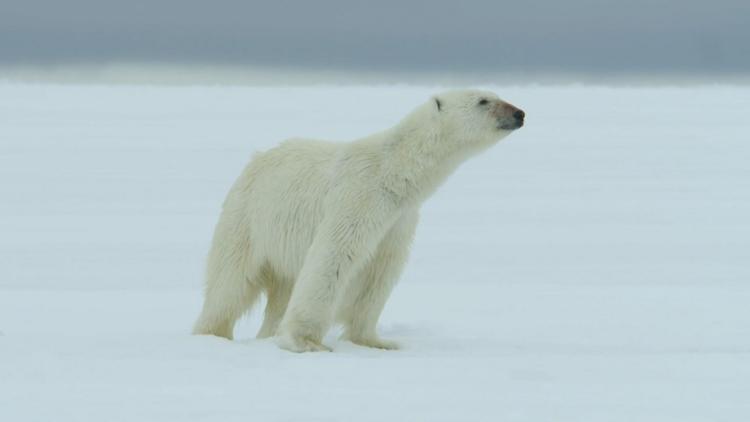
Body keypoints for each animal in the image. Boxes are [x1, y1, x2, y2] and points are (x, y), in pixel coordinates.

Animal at [191, 90, 524, 352]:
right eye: (484, 100)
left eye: (495, 94)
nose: (520, 113)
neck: (395, 172)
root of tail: (254, 161)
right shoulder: (359, 195)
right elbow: (335, 255)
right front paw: (305, 341)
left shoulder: (399, 218)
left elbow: (380, 271)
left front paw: (376, 341)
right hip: (248, 216)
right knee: (230, 282)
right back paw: (212, 333)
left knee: (281, 290)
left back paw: (268, 333)